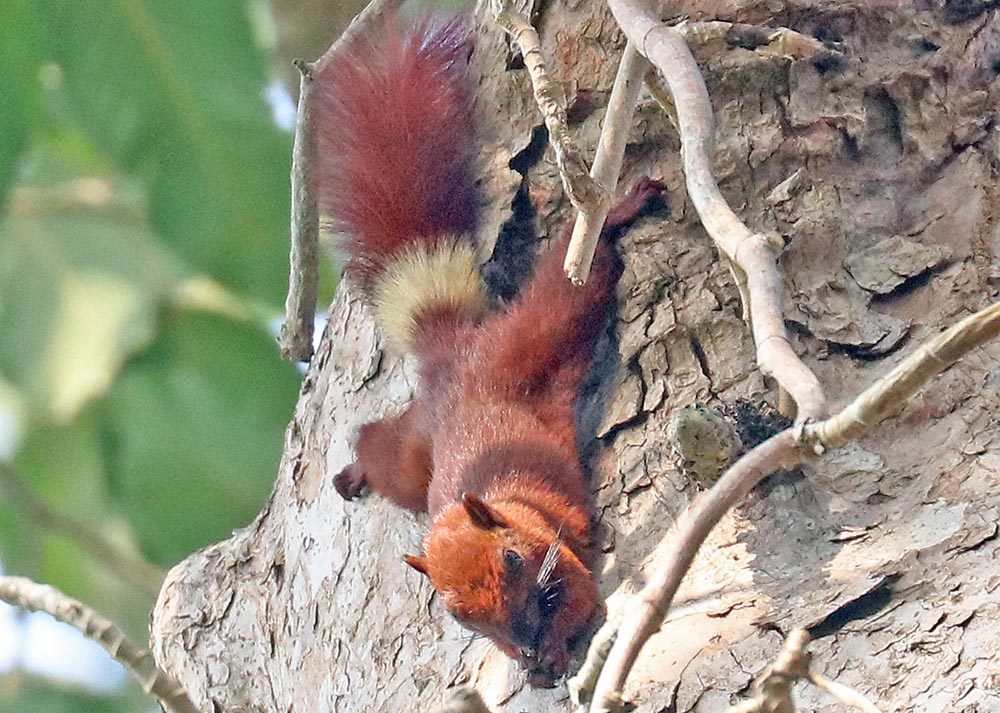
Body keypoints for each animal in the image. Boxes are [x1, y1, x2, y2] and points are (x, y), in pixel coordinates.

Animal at [312, 9, 664, 680]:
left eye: (511, 560)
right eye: (457, 616)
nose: (522, 635)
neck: (508, 504)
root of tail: (453, 358)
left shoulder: (561, 554)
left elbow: (581, 600)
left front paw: (551, 649)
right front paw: (532, 662)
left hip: (532, 334)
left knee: (568, 281)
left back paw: (615, 212)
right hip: (415, 453)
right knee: (379, 443)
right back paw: (353, 469)